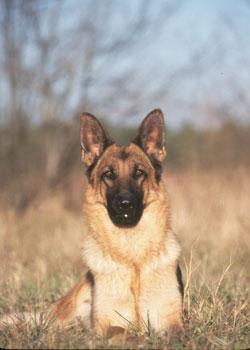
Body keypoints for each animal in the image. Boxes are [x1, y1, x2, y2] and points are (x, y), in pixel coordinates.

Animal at [1, 108, 184, 336]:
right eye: (109, 174)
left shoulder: (172, 322)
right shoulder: (106, 324)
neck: (131, 255)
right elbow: (125, 333)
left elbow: (175, 336)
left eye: (139, 173)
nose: (125, 204)